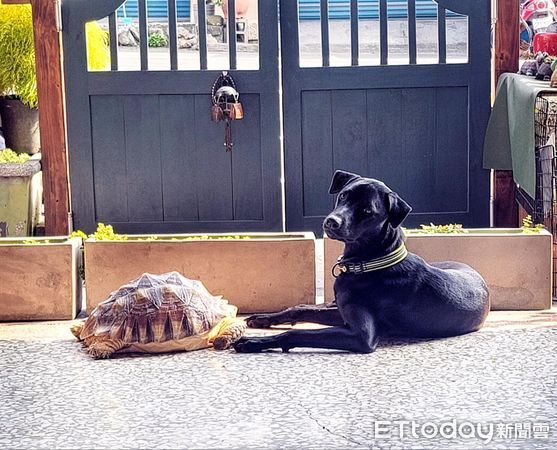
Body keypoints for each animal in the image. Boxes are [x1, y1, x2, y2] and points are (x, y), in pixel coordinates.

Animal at [232, 171, 488, 354]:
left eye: (367, 211)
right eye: (343, 195)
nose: (331, 222)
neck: (373, 262)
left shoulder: (361, 336)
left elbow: (296, 334)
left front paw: (253, 342)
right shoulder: (342, 313)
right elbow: (301, 308)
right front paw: (263, 319)